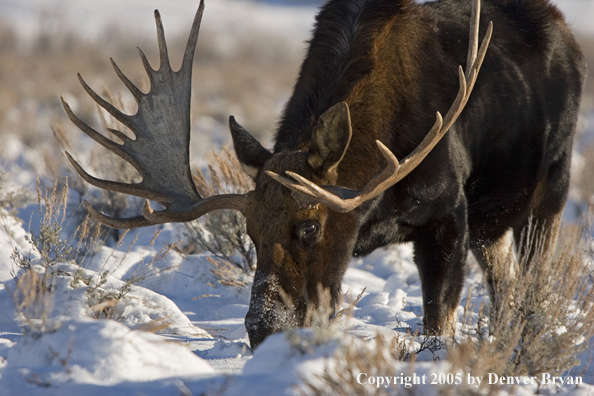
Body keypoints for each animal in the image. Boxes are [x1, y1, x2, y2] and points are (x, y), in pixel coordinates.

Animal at [61, 0, 584, 346]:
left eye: (310, 226)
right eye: (249, 232)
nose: (263, 328)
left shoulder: (448, 212)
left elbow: (439, 319)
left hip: (551, 189)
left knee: (531, 278)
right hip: (493, 224)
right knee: (505, 283)